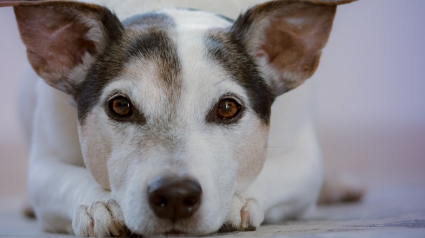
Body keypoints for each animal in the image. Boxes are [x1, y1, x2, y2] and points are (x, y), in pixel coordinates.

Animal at [0, 0, 362, 235]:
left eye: (228, 108)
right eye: (120, 106)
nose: (174, 196)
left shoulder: (305, 159)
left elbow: (275, 172)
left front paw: (237, 200)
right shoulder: (44, 162)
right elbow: (64, 178)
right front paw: (98, 204)